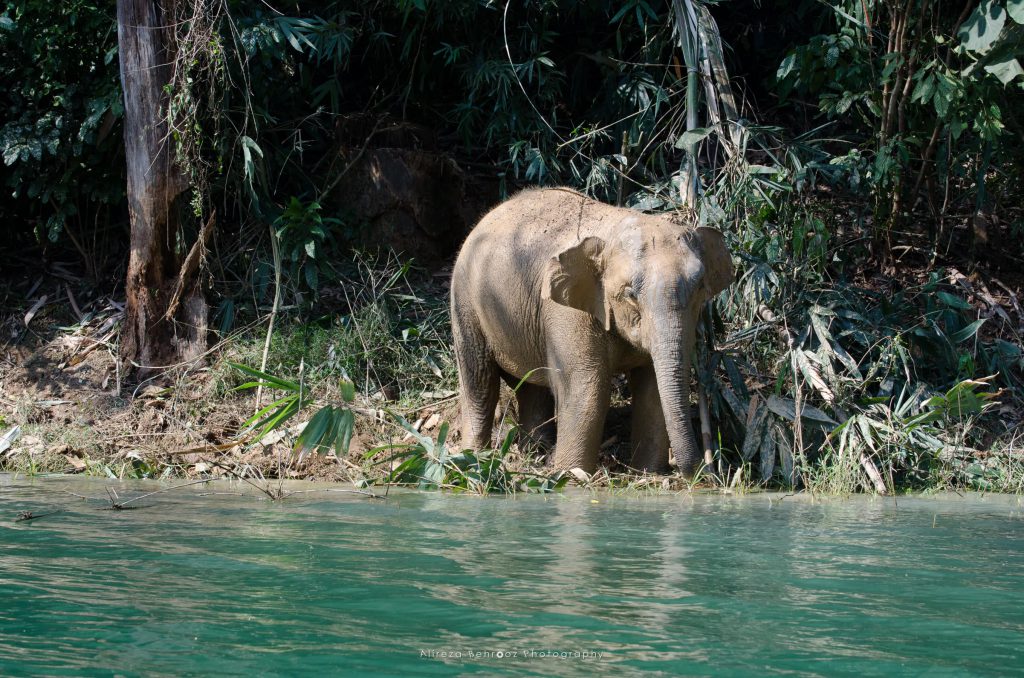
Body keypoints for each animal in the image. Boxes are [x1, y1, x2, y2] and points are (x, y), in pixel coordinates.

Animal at [452, 187, 733, 477]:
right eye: (630, 294)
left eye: (699, 287)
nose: (706, 471)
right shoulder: (566, 312)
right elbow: (587, 387)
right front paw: (570, 475)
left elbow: (652, 387)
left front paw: (648, 473)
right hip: (464, 300)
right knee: (480, 380)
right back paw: (472, 459)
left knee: (531, 385)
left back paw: (536, 452)